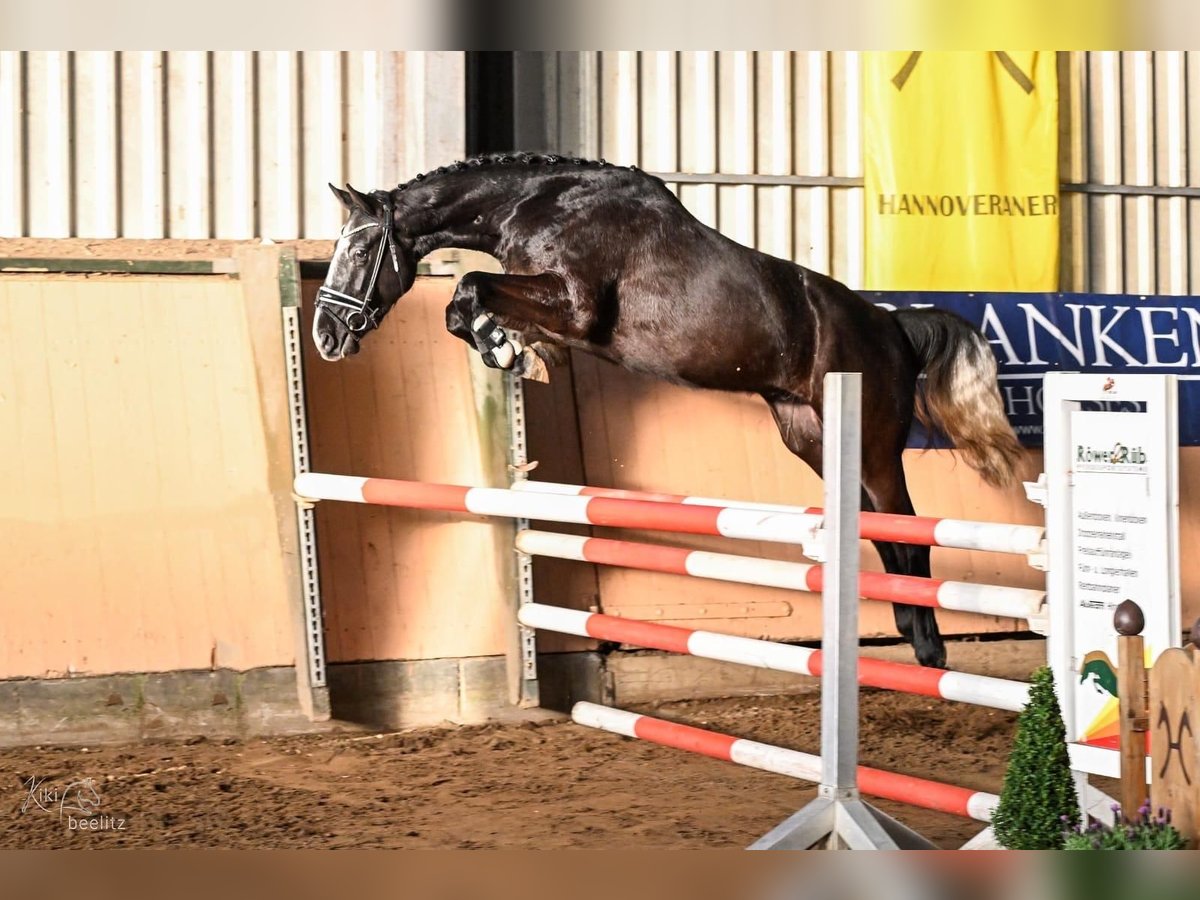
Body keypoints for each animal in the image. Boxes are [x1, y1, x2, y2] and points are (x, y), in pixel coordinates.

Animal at [312, 152, 1026, 670]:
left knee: (908, 527)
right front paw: (511, 350)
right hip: (811, 435)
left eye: (358, 251)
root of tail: (892, 325)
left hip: (874, 442)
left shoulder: (574, 305)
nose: (325, 336)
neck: (540, 204)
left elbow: (467, 286)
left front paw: (506, 347)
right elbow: (466, 303)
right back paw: (903, 624)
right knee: (880, 528)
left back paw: (928, 643)